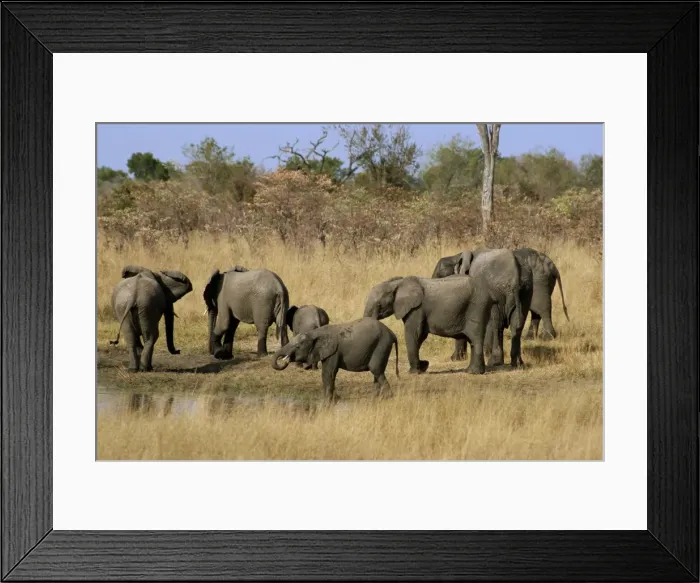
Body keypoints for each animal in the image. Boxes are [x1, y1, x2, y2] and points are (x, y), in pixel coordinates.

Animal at [363, 274, 495, 375]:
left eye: (379, 305)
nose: (425, 362)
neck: (397, 283)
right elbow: (420, 336)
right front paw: (423, 366)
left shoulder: (416, 309)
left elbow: (413, 334)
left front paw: (414, 372)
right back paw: (470, 371)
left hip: (477, 307)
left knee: (475, 338)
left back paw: (474, 372)